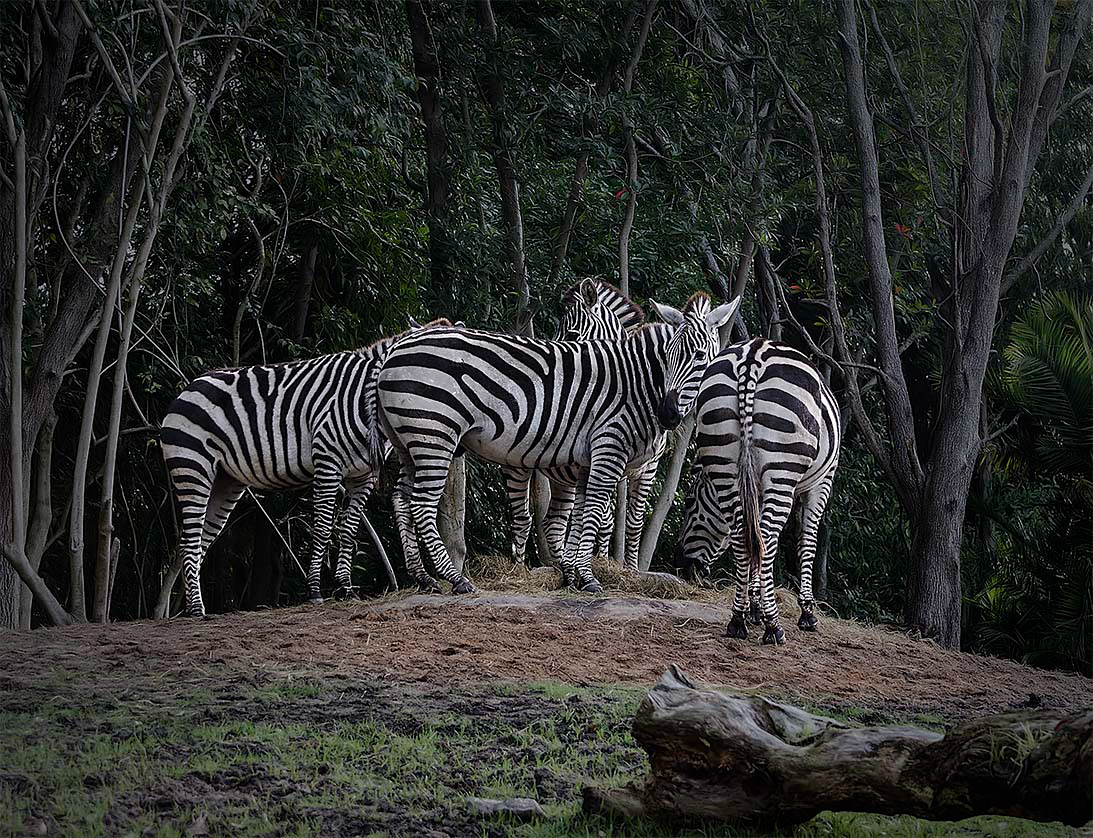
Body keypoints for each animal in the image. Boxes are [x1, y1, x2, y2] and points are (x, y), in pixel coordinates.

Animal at [160, 320, 448, 618]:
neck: (361, 398)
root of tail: (188, 388)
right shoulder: (328, 463)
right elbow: (322, 528)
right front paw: (315, 591)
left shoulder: (363, 476)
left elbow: (348, 530)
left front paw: (345, 587)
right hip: (193, 467)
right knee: (189, 540)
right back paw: (196, 609)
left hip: (226, 481)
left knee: (201, 540)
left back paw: (195, 605)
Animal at [377, 292, 740, 594]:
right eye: (668, 356)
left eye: (699, 356)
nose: (667, 414)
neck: (637, 385)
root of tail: (395, 350)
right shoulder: (609, 448)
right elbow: (594, 514)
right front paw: (590, 578)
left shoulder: (587, 463)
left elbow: (580, 519)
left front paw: (577, 575)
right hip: (434, 434)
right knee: (421, 504)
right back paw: (455, 578)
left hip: (408, 442)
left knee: (401, 500)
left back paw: (423, 578)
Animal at [674, 338, 840, 645]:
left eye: (689, 502)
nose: (679, 564)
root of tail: (753, 354)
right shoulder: (822, 481)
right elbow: (807, 542)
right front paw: (806, 612)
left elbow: (757, 542)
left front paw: (753, 609)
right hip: (782, 466)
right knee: (768, 537)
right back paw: (774, 626)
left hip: (723, 459)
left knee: (744, 537)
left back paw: (737, 621)